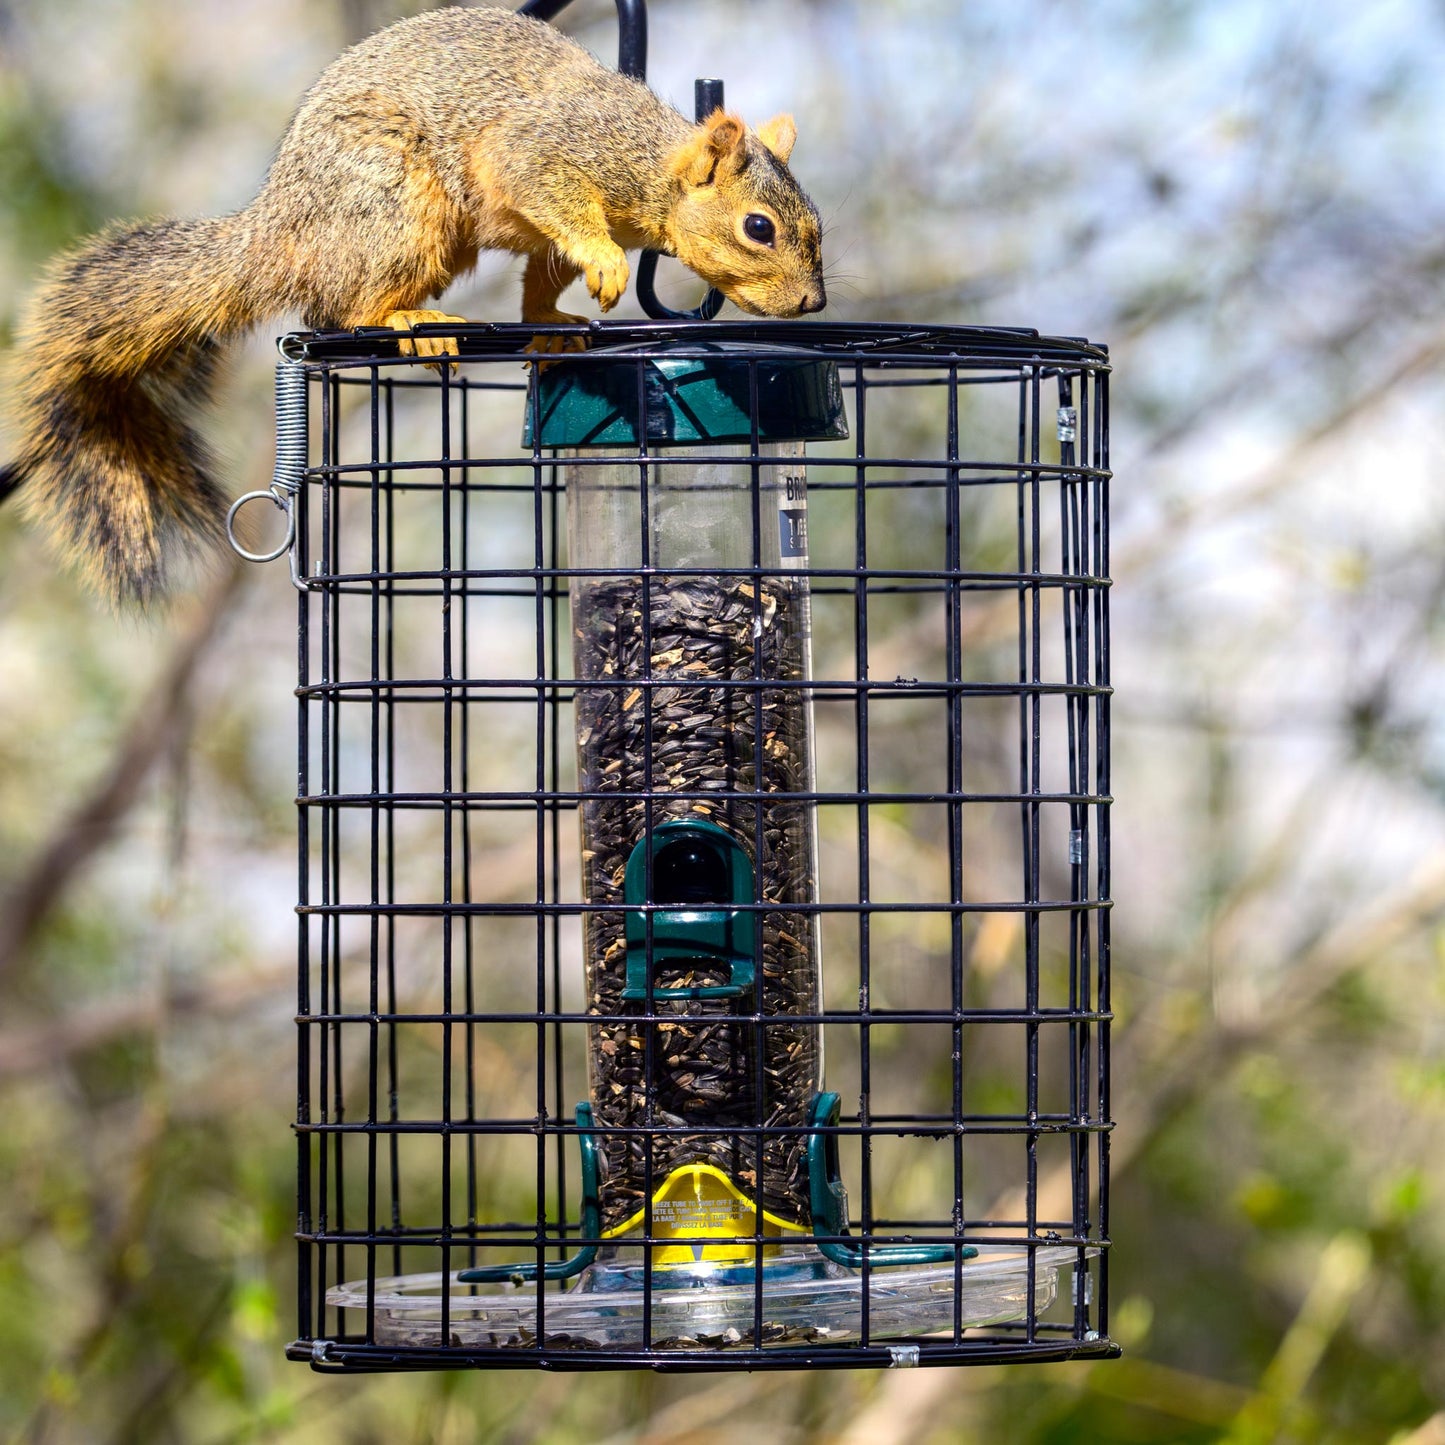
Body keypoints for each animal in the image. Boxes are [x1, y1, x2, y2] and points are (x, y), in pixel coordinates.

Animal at [2, 5, 826, 604]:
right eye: (759, 228)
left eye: (814, 223)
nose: (812, 301)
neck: (652, 170)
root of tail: (278, 229)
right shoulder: (547, 153)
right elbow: (546, 193)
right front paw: (602, 266)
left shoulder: (547, 231)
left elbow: (540, 276)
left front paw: (553, 327)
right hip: (397, 206)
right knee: (346, 309)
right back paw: (410, 322)